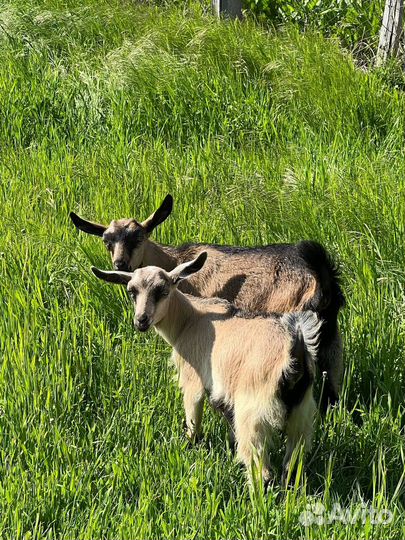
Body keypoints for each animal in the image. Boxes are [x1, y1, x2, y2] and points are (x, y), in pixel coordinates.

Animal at [70, 196, 344, 412]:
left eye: (139, 238)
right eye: (107, 241)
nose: (120, 264)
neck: (174, 262)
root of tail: (322, 281)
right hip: (330, 338)